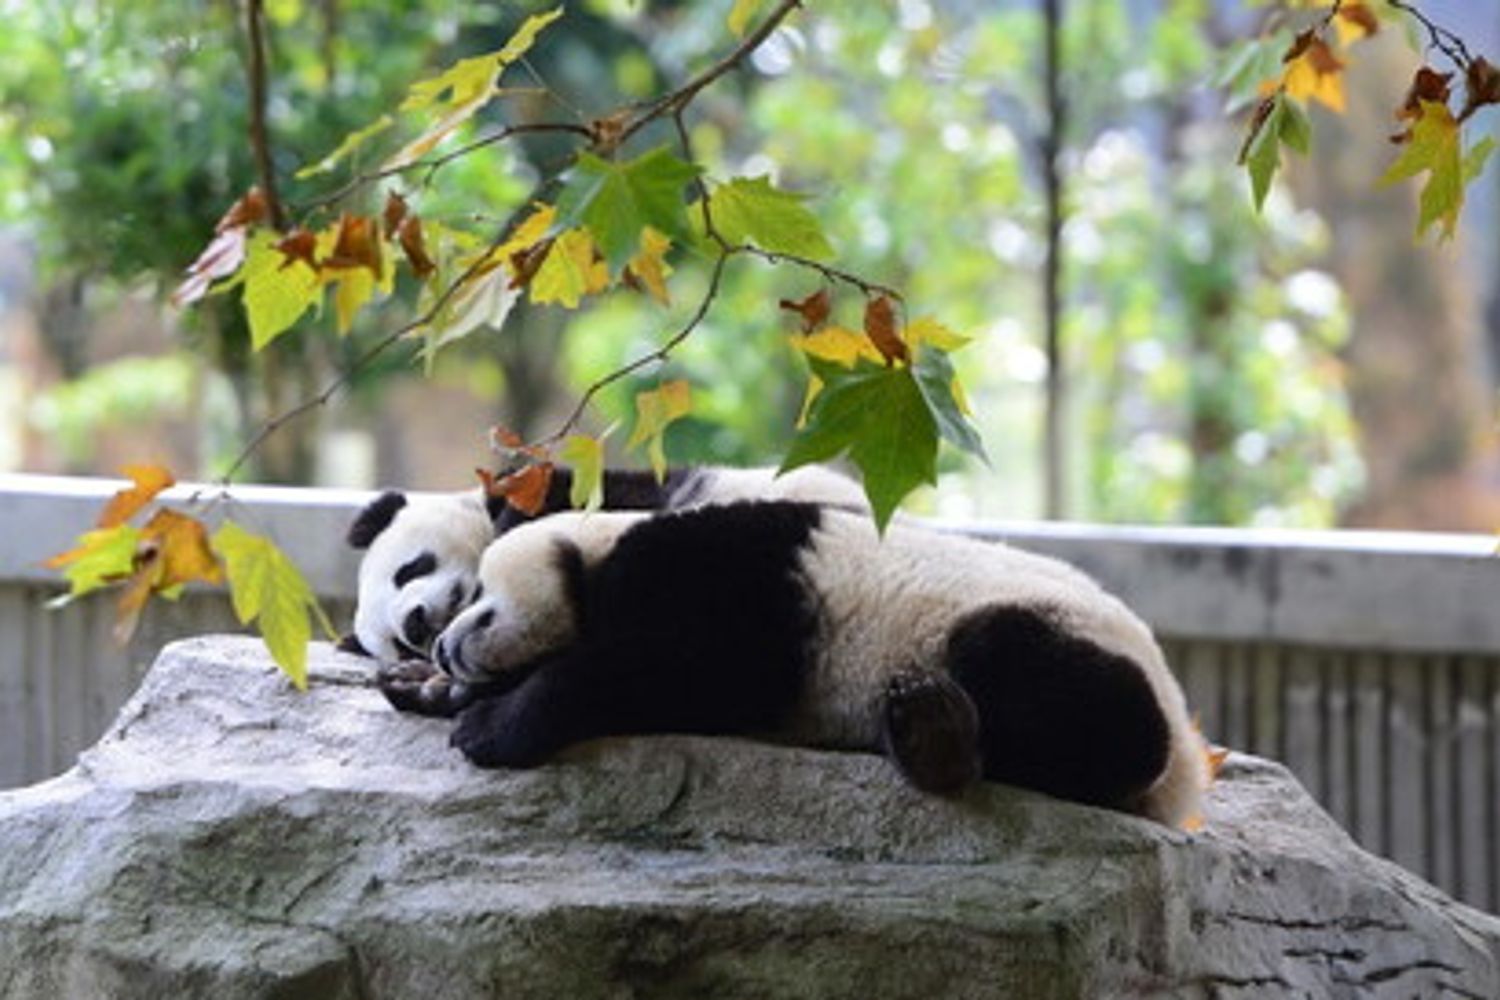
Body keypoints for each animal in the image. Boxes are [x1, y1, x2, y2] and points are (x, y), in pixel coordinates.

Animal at [389, 500, 1208, 828]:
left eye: (481, 601)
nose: (441, 643)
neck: (603, 547)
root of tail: (1186, 779)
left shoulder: (726, 584)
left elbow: (668, 668)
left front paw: (490, 726)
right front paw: (422, 688)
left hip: (1039, 630)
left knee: (1064, 700)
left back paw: (933, 733)